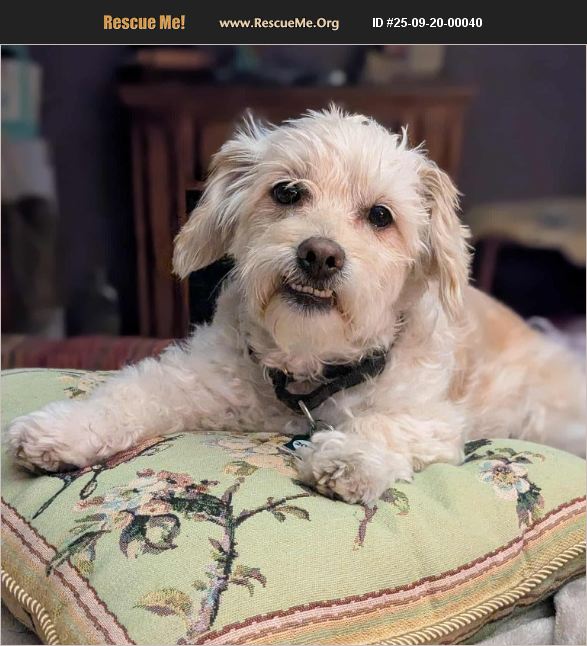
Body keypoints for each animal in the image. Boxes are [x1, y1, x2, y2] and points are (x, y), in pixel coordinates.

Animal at [7, 107, 586, 504]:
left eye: (381, 215)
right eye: (287, 191)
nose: (320, 255)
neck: (311, 364)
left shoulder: (432, 417)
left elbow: (385, 425)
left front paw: (349, 456)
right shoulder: (197, 377)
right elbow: (130, 393)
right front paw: (63, 430)